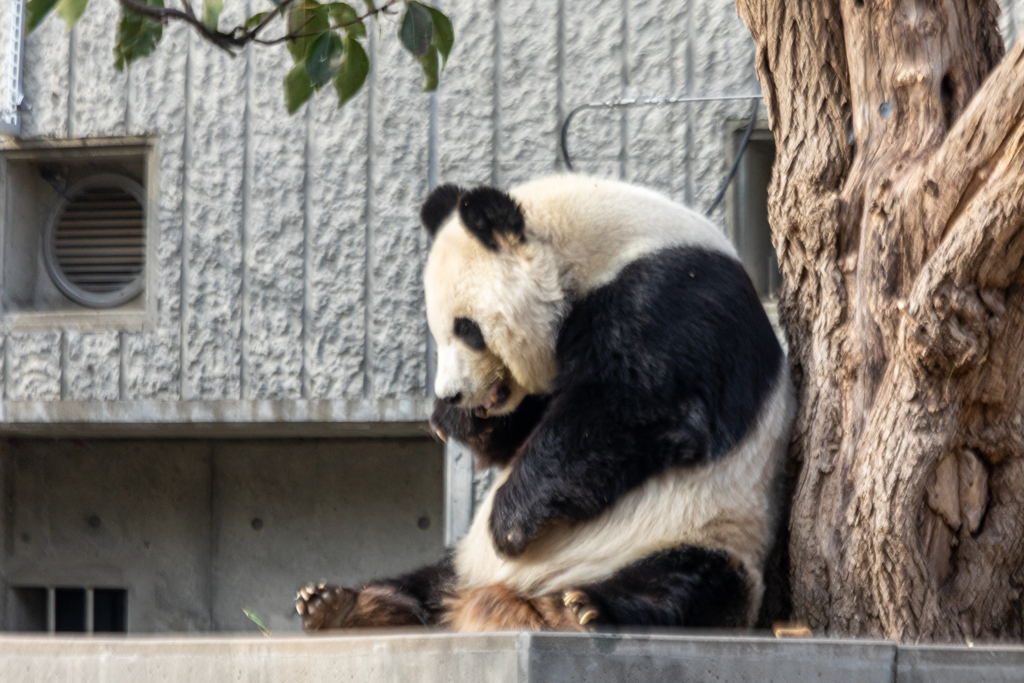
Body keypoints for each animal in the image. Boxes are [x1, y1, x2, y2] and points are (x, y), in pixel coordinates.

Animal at [294, 174, 790, 634]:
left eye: (467, 328)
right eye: (438, 330)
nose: (452, 392)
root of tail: (495, 596)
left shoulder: (672, 300)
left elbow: (637, 407)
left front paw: (508, 522)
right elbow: (520, 432)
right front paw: (454, 419)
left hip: (698, 531)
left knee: (683, 583)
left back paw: (582, 607)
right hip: (465, 558)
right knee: (428, 578)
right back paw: (343, 603)